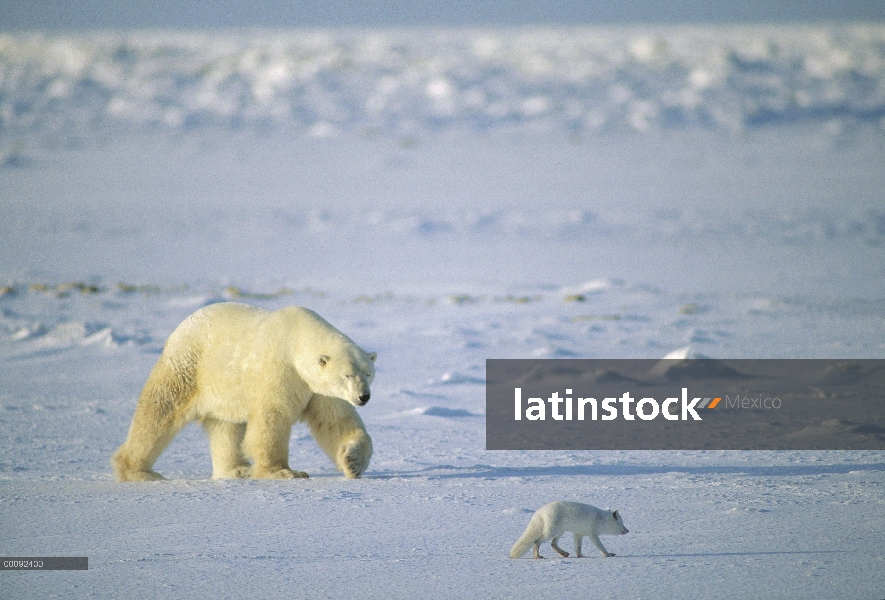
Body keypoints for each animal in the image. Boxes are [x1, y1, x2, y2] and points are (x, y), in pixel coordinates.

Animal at [112, 302, 374, 480]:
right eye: (347, 375)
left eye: (368, 373)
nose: (364, 396)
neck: (295, 339)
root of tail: (180, 329)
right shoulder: (280, 369)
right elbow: (273, 417)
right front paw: (283, 471)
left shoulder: (317, 389)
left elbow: (334, 421)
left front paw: (352, 462)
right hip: (188, 367)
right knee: (159, 412)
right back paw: (140, 472)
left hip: (223, 390)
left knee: (226, 427)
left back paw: (237, 469)